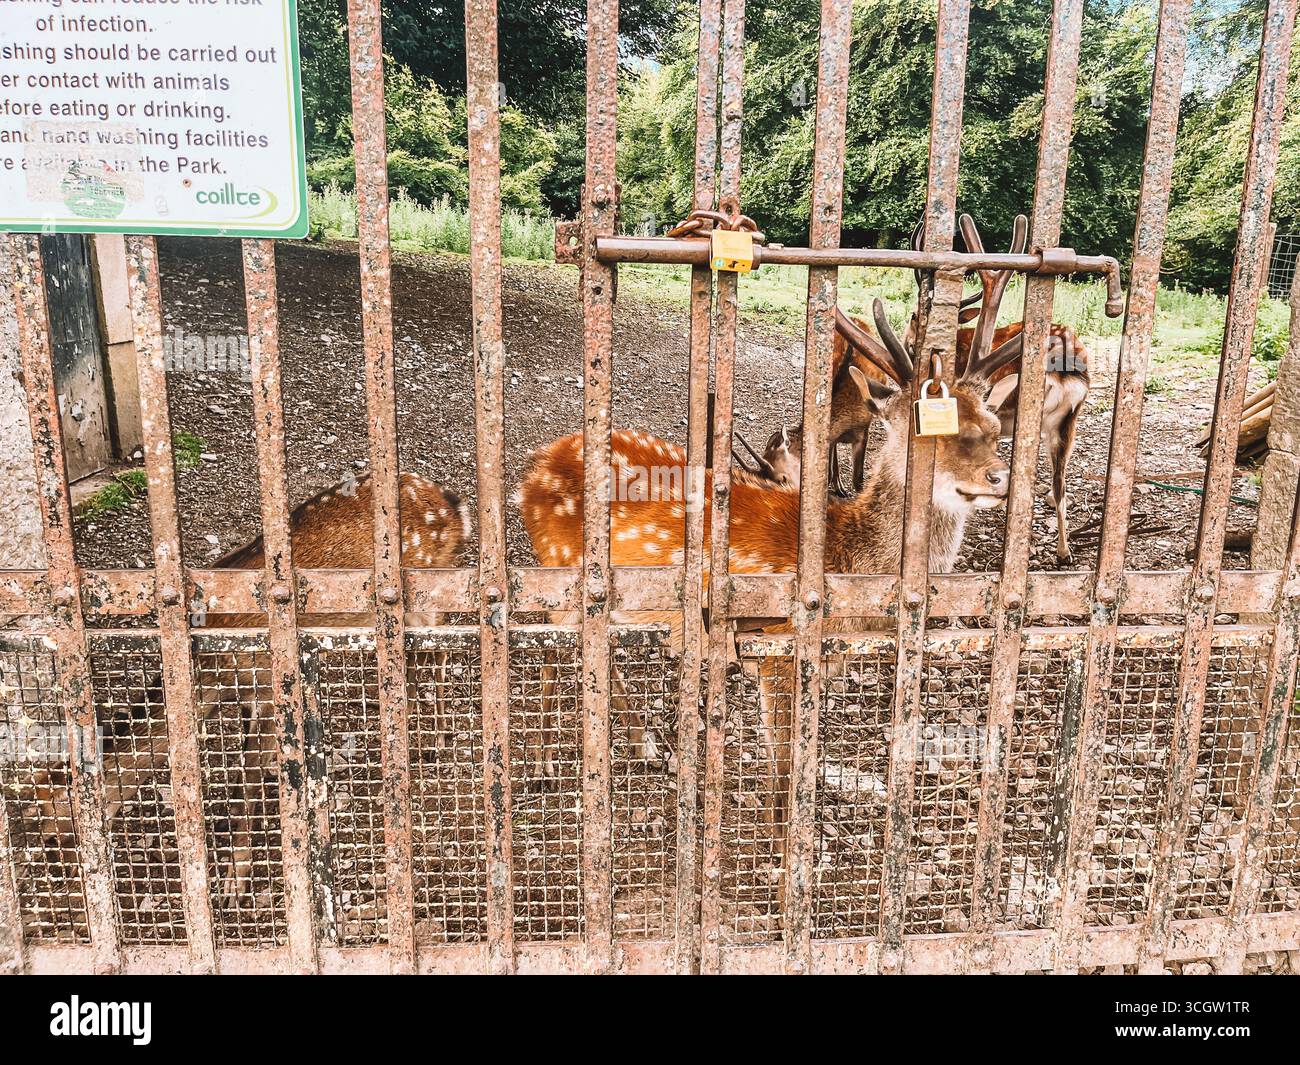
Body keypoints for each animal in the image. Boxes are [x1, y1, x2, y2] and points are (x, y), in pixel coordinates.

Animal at [519, 308, 1017, 849]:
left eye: (994, 426)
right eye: (923, 429)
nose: (998, 477)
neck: (848, 561)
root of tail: (534, 466)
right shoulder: (777, 648)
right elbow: (782, 763)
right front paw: (780, 852)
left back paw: (641, 742)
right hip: (560, 567)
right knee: (549, 644)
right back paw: (543, 762)